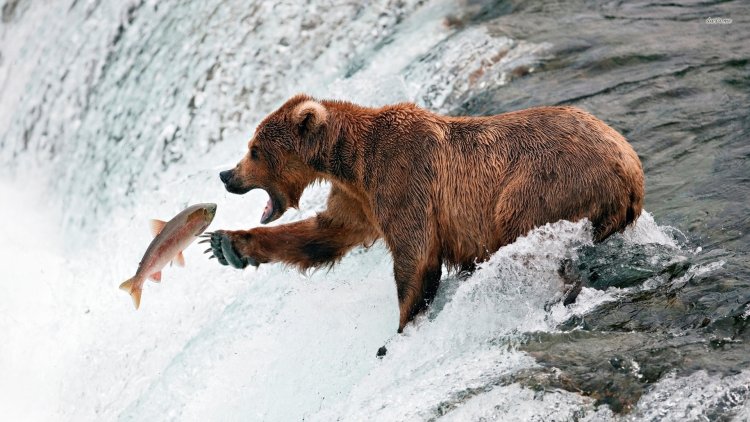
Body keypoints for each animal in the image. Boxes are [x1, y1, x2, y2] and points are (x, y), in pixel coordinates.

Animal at [209, 95, 644, 332]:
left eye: (254, 150)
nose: (226, 175)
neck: (349, 162)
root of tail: (630, 167)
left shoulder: (403, 179)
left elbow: (415, 258)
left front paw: (401, 328)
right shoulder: (358, 199)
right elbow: (325, 234)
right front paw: (227, 244)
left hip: (542, 184)